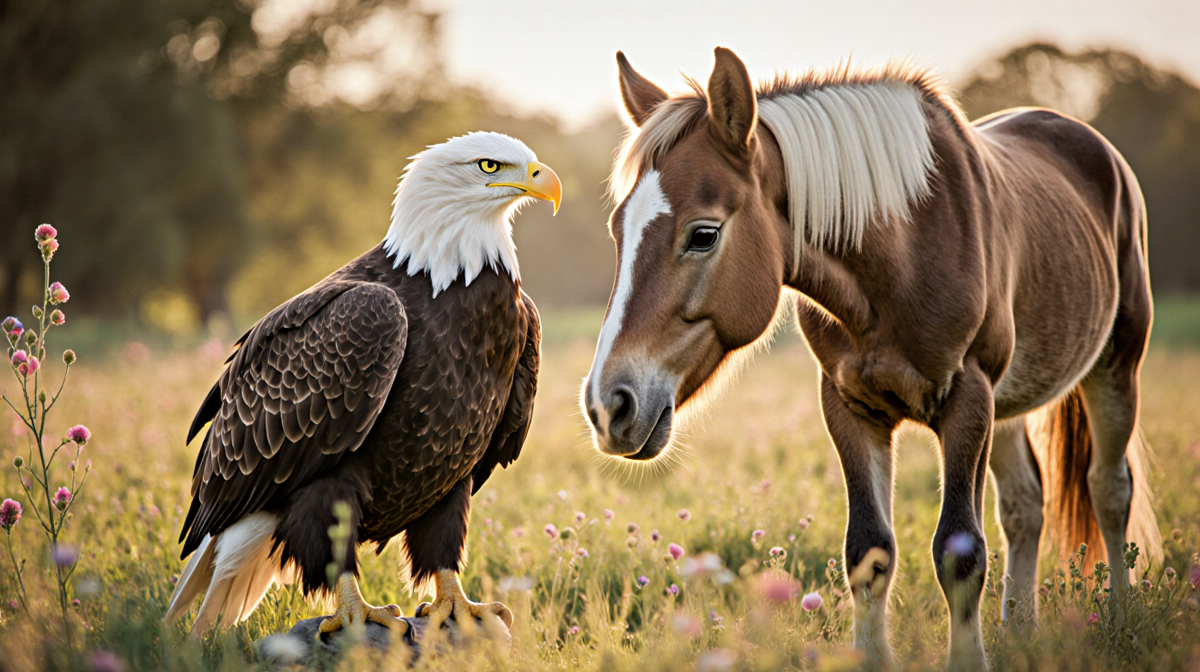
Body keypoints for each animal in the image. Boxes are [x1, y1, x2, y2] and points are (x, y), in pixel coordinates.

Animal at [581, 47, 1161, 669]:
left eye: (704, 234)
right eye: (617, 230)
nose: (608, 406)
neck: (903, 253)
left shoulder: (968, 399)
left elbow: (961, 554)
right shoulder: (850, 406)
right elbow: (868, 552)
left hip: (1114, 369)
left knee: (1110, 490)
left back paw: (1120, 622)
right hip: (1008, 405)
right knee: (1026, 507)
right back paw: (1020, 633)